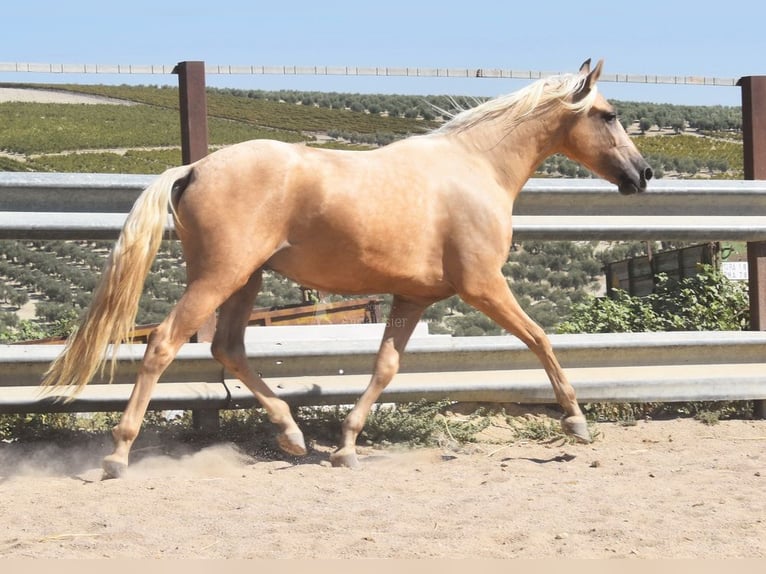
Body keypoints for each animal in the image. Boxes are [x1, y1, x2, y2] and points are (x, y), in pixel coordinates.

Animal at [43, 59, 656, 482]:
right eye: (608, 114)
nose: (643, 174)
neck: (477, 167)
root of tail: (193, 168)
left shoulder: (413, 298)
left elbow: (386, 367)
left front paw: (345, 447)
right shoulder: (482, 285)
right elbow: (540, 339)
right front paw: (576, 421)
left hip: (246, 279)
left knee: (228, 348)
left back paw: (292, 436)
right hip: (219, 277)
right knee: (164, 343)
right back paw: (118, 455)